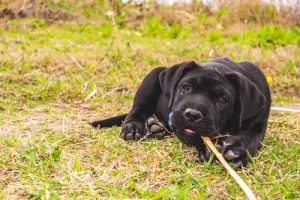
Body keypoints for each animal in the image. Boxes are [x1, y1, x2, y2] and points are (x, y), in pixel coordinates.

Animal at [90, 57, 270, 166]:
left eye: (222, 99)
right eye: (186, 87)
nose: (192, 114)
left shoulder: (260, 123)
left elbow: (252, 137)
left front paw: (236, 148)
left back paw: (156, 127)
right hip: (154, 74)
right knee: (137, 109)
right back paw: (135, 127)